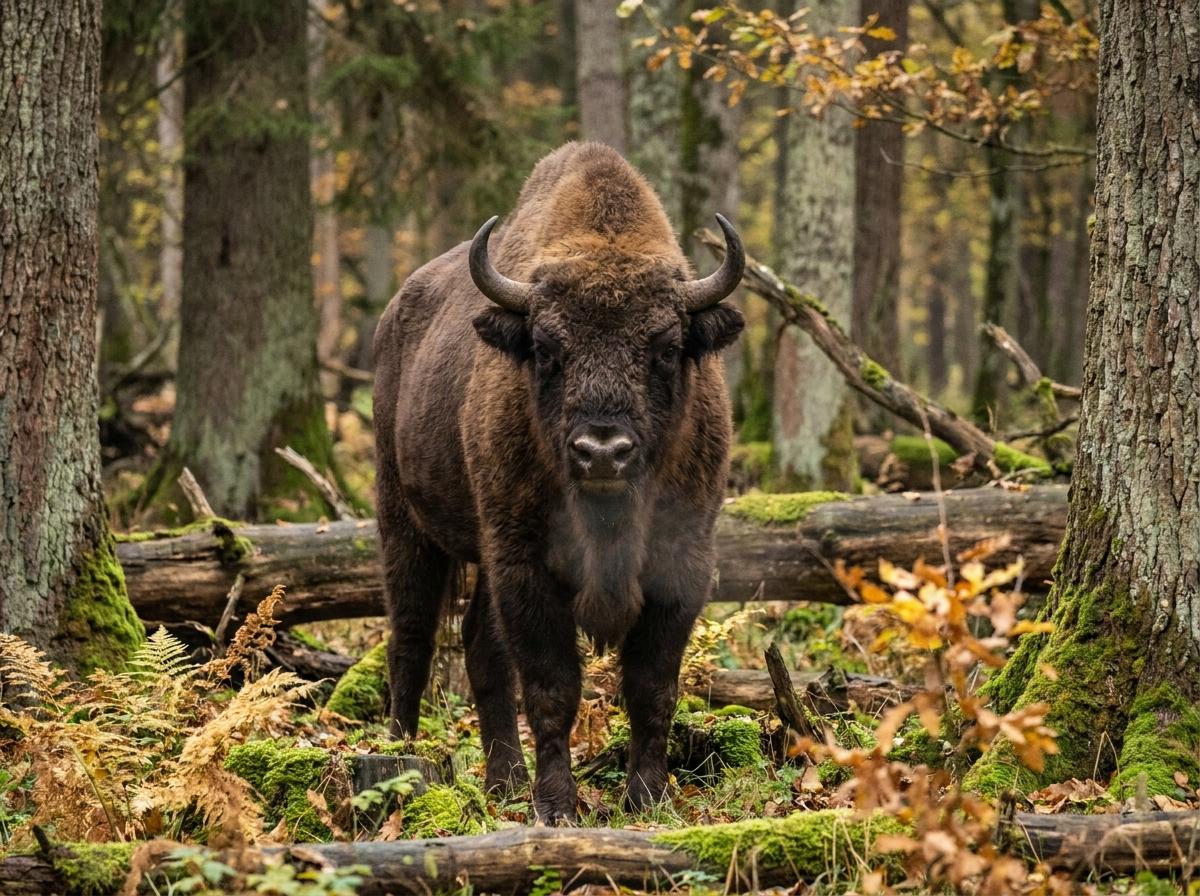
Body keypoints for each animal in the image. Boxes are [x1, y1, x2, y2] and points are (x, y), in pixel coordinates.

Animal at [373, 142, 744, 823]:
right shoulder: (525, 566)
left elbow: (651, 686)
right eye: (547, 348)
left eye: (665, 347)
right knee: (410, 635)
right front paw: (557, 806)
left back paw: (503, 781)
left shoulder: (682, 562)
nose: (602, 452)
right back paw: (399, 757)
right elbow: (551, 688)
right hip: (404, 522)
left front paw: (648, 798)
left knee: (478, 646)